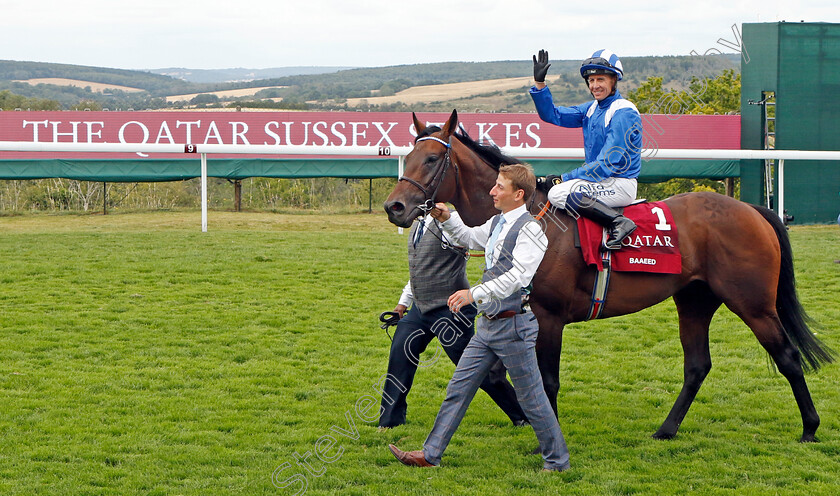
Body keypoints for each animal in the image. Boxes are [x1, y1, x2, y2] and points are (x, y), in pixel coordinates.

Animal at [386, 110, 832, 444]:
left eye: (431, 160)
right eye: (408, 156)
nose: (395, 207)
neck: (534, 222)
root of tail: (752, 209)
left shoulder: (549, 317)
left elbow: (547, 382)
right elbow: (506, 373)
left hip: (753, 303)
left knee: (788, 356)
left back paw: (810, 427)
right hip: (695, 300)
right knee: (697, 366)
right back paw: (666, 429)